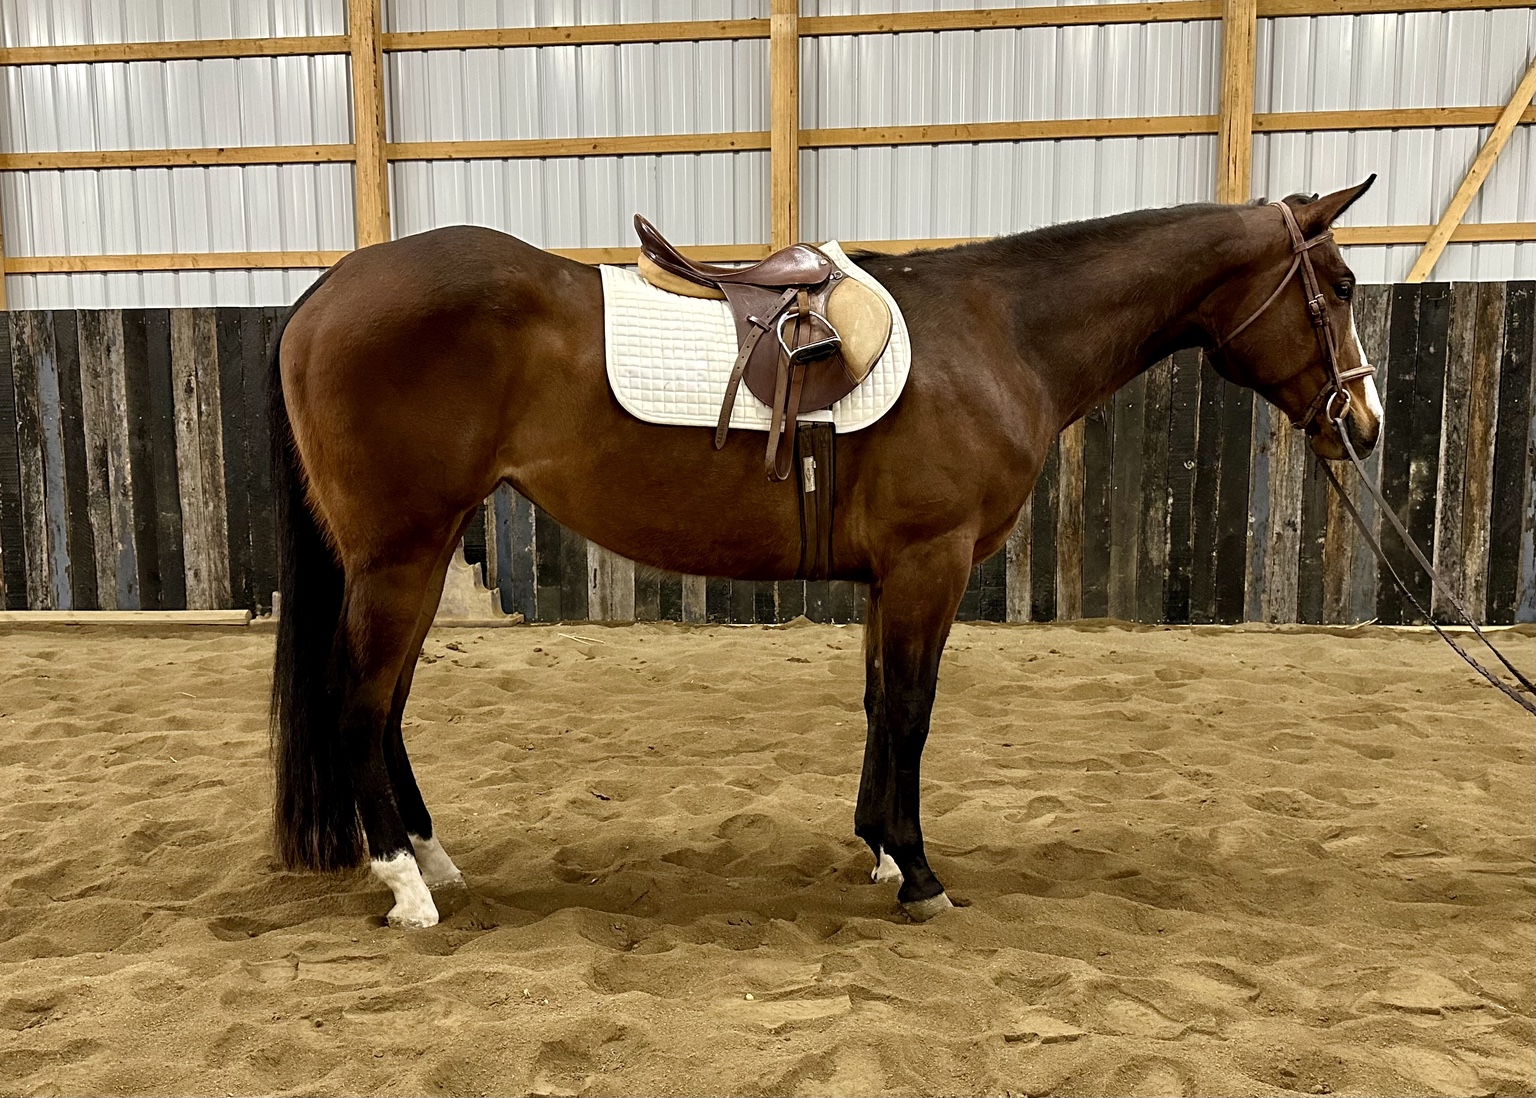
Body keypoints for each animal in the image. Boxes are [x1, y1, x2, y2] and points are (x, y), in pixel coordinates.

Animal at [268, 178, 1383, 927]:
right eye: (1337, 284)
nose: (1364, 425)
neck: (998, 334)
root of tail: (326, 292)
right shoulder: (933, 562)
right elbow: (913, 710)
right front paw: (921, 876)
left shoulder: (894, 575)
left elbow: (879, 704)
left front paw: (881, 850)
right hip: (401, 553)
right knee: (359, 703)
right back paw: (407, 887)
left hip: (422, 552)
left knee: (387, 707)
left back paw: (432, 860)